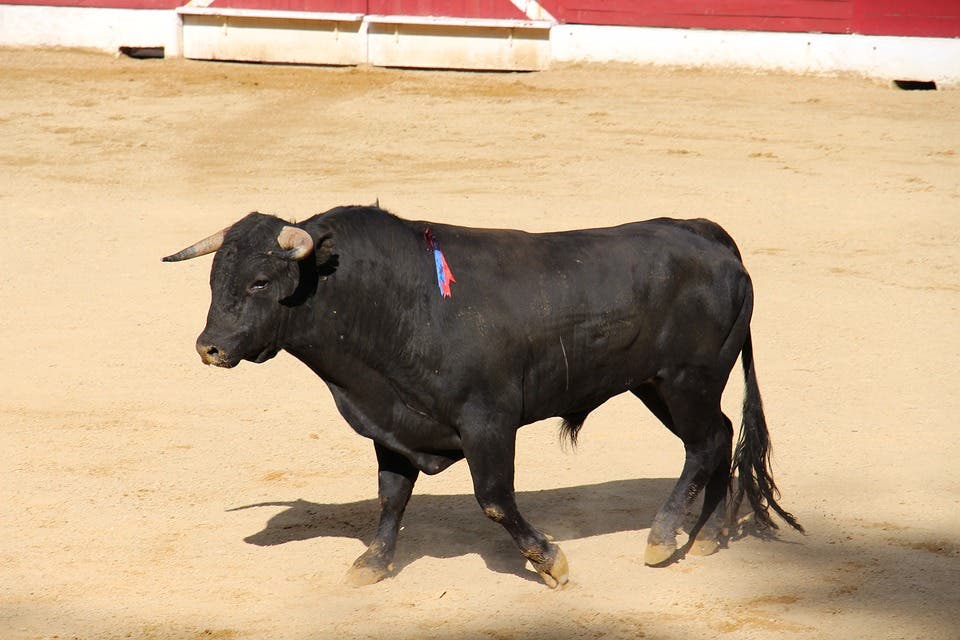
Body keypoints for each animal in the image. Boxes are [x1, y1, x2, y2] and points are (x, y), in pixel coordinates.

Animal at [165, 206, 804, 592]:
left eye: (260, 282)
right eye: (216, 280)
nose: (209, 347)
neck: (403, 302)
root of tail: (704, 232)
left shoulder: (488, 422)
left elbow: (494, 499)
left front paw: (550, 561)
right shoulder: (395, 423)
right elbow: (391, 496)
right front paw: (372, 563)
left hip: (687, 379)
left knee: (705, 444)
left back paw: (662, 537)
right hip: (659, 386)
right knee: (719, 437)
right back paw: (709, 536)